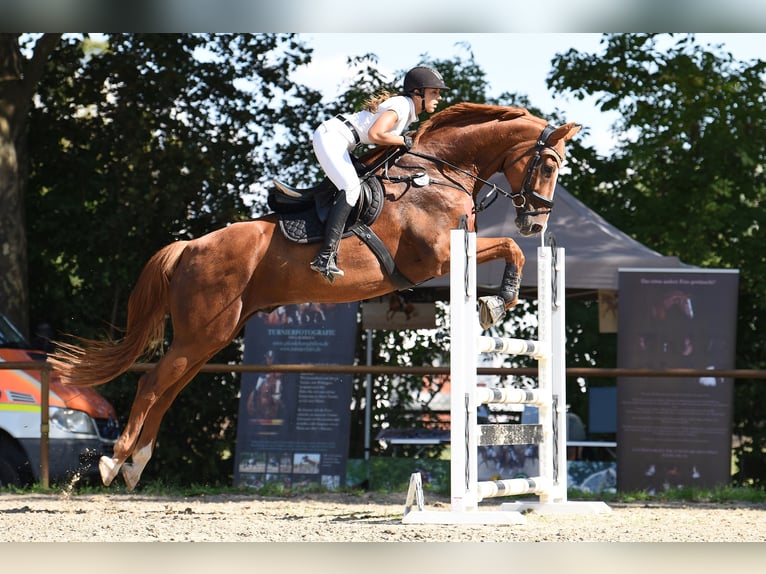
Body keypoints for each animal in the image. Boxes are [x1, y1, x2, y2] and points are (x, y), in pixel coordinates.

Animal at [49, 103, 584, 490]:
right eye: (548, 164)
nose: (535, 222)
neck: (437, 176)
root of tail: (190, 246)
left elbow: (510, 248)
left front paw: (498, 299)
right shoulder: (437, 261)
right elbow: (509, 248)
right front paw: (498, 301)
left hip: (210, 337)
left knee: (168, 388)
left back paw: (135, 465)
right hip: (202, 332)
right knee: (151, 384)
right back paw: (113, 462)